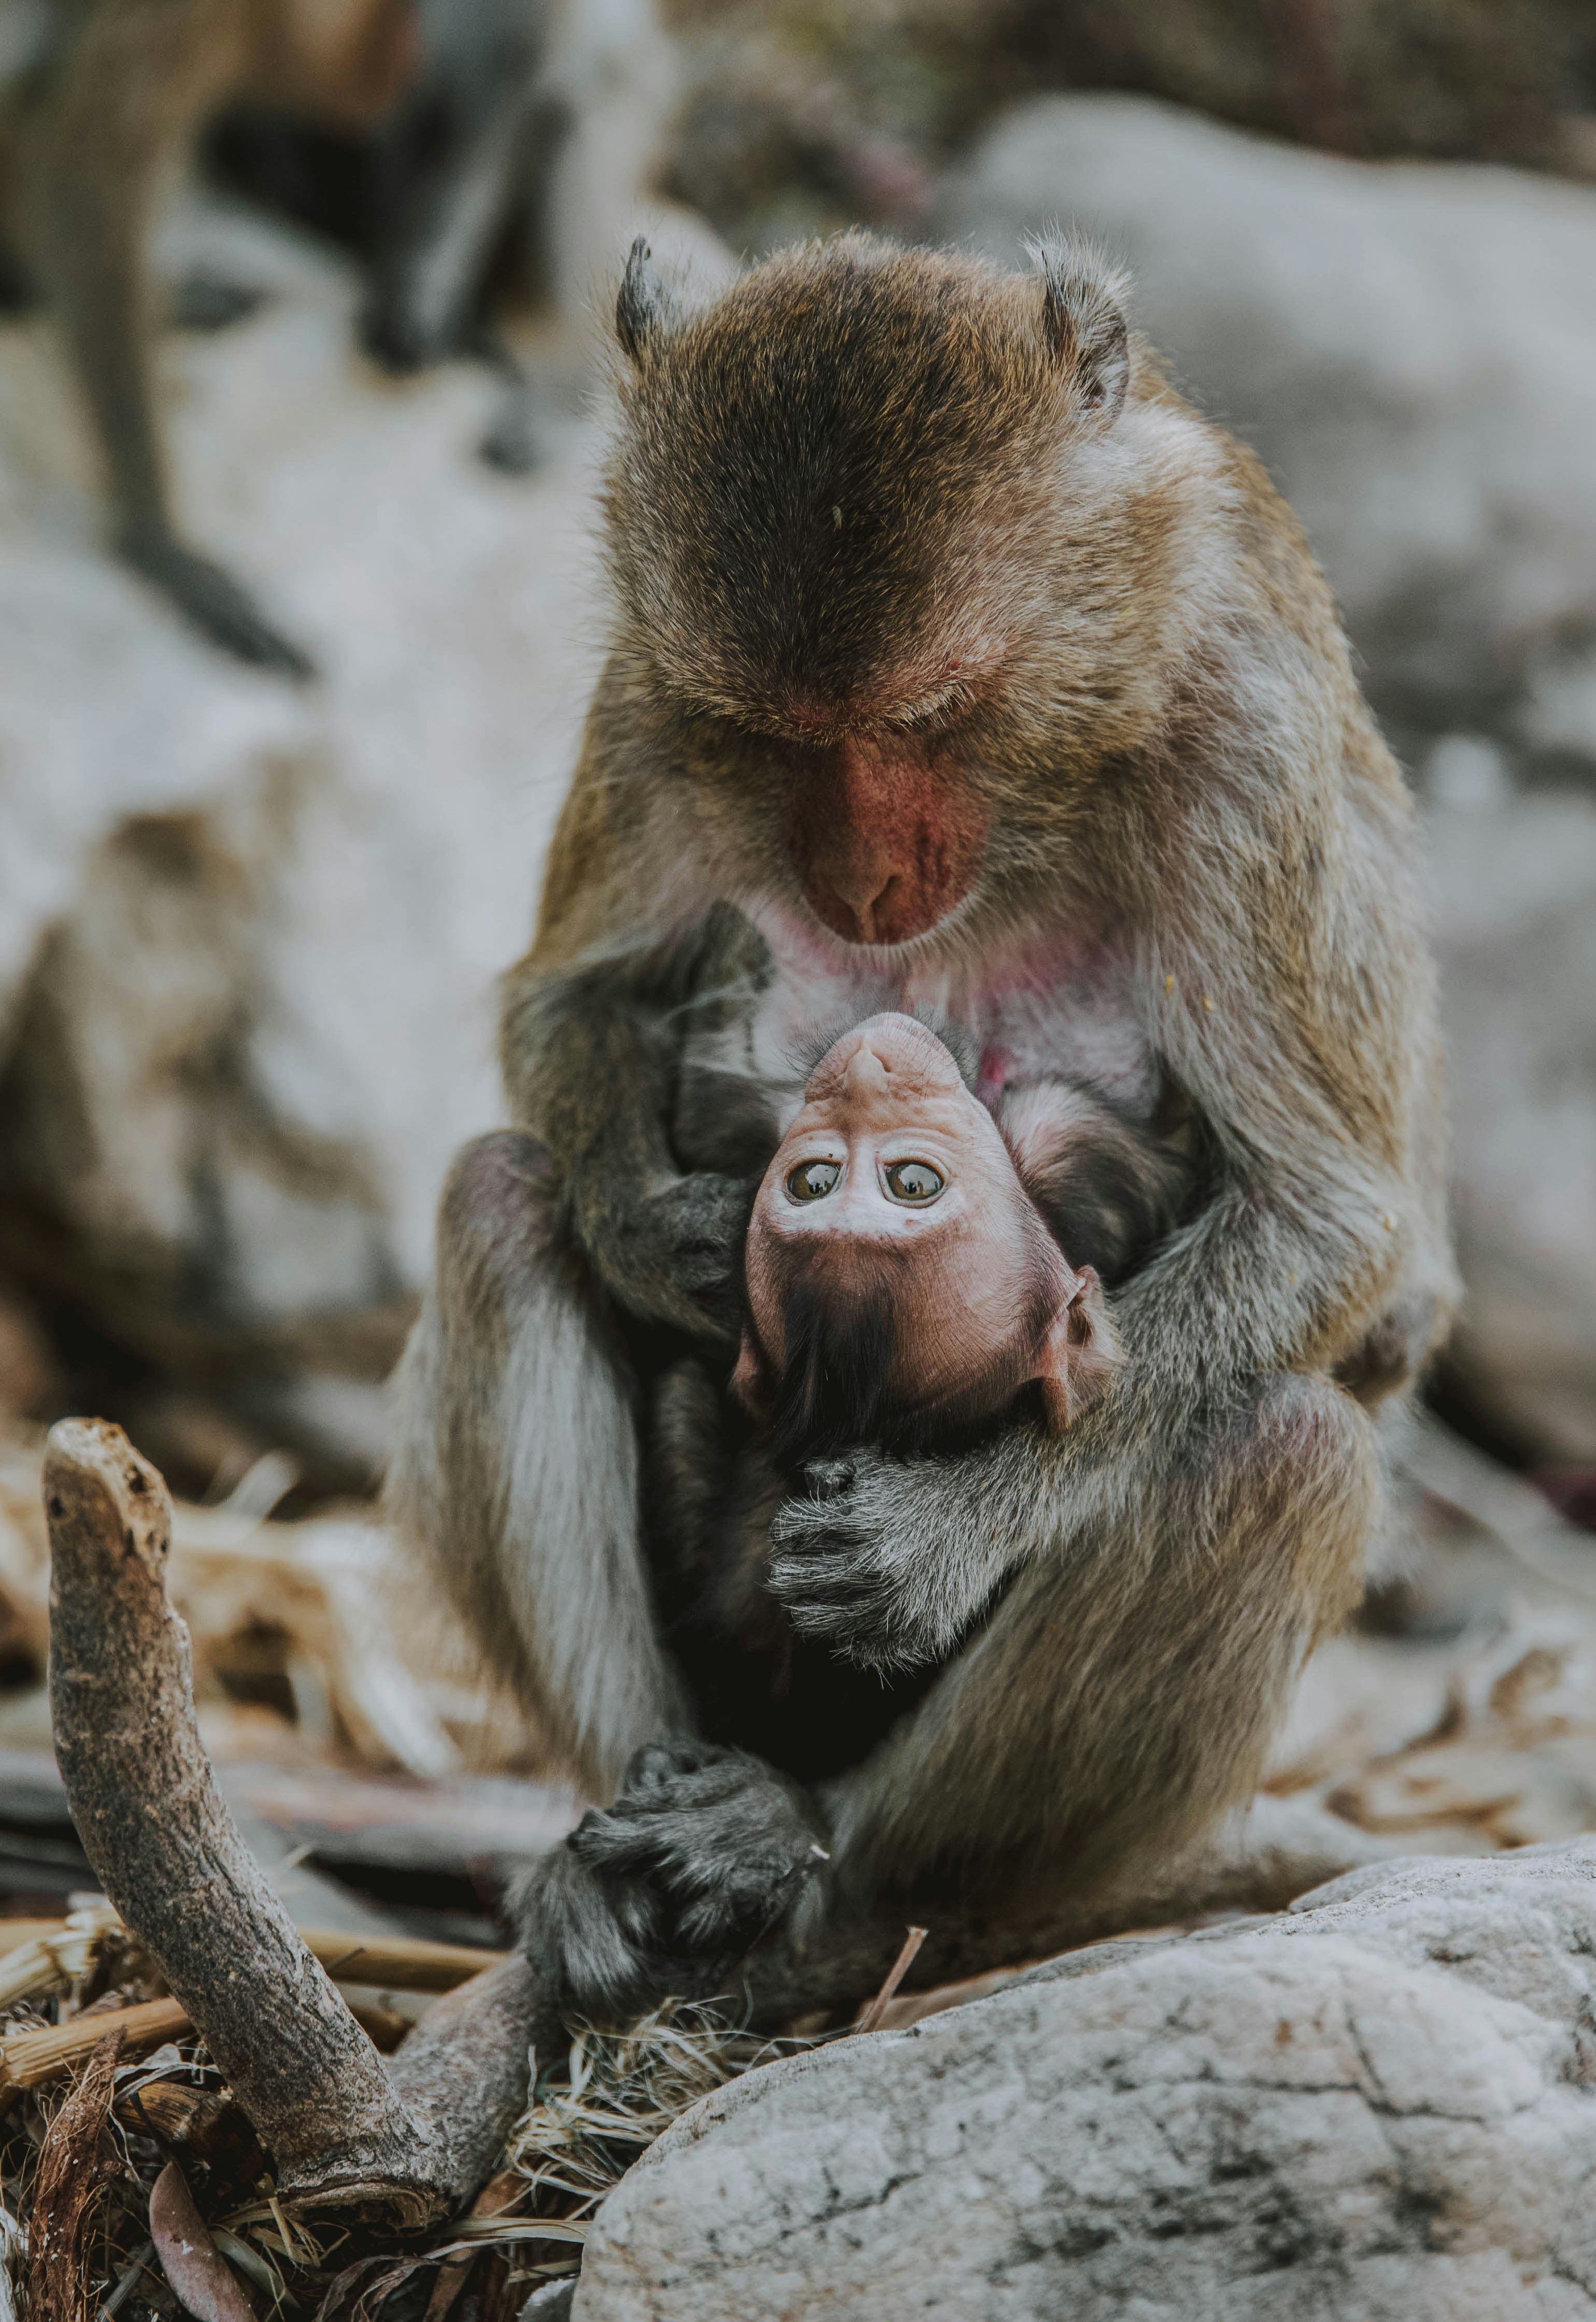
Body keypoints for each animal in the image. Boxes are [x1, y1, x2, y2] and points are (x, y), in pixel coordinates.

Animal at [388, 232, 1458, 2024]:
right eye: (772, 732)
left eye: (937, 711)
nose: (864, 883)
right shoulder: (651, 696)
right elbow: (569, 1001)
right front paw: (660, 1238)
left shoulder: (1242, 733)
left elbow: (1331, 1218)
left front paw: (948, 1532)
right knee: (497, 1201)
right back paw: (630, 1831)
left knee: (1285, 1448)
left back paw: (817, 1866)